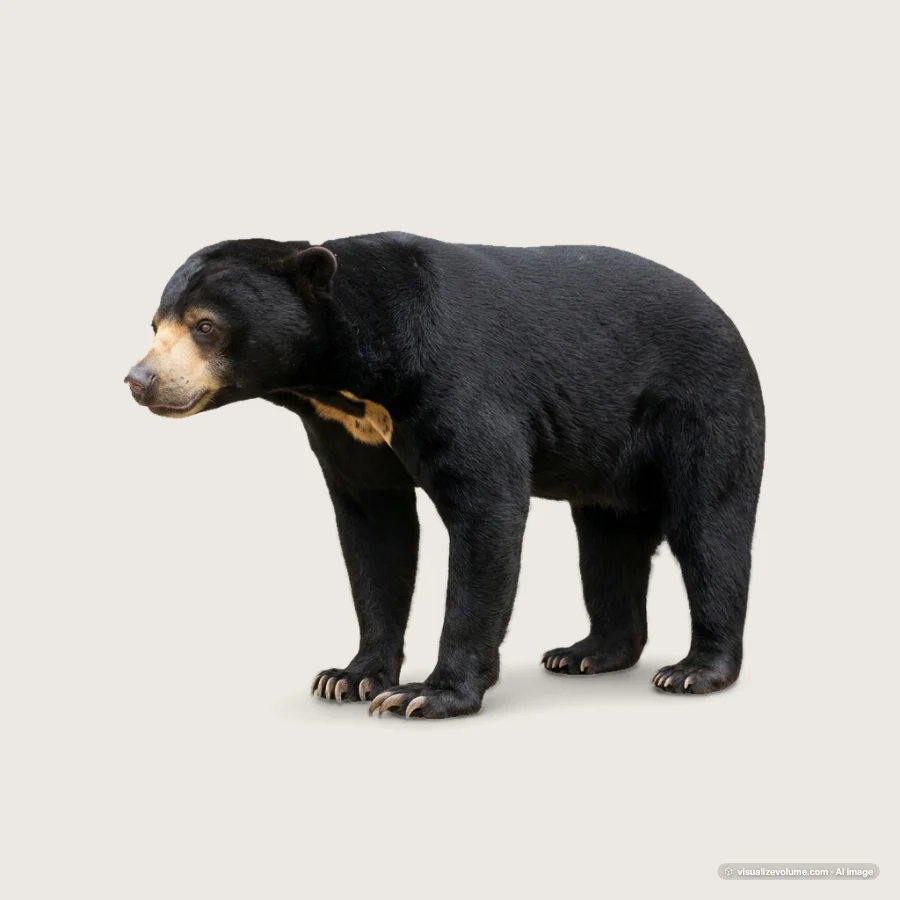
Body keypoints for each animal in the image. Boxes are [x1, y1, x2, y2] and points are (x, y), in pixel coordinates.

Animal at [125, 232, 765, 718]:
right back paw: (587, 652)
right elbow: (374, 533)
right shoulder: (345, 431)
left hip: (703, 408)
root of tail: (727, 318)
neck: (353, 378)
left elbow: (486, 510)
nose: (139, 380)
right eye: (156, 324)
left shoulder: (457, 383)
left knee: (709, 529)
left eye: (205, 326)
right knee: (608, 543)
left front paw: (427, 695)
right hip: (610, 458)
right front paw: (348, 676)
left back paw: (693, 670)